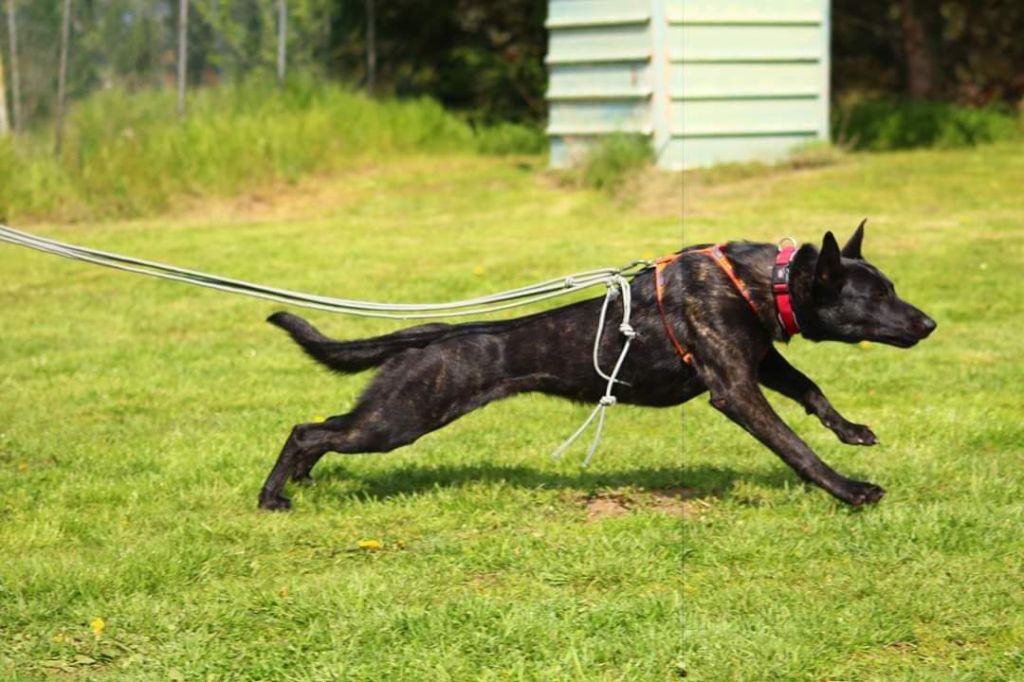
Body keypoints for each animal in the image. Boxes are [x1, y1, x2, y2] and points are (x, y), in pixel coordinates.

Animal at [258, 224, 937, 509]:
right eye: (877, 296)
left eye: (893, 287)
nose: (929, 323)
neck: (759, 282)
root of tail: (436, 333)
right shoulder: (735, 388)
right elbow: (795, 448)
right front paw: (852, 491)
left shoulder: (759, 360)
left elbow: (811, 388)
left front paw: (852, 430)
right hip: (400, 418)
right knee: (306, 431)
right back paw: (273, 497)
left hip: (391, 412)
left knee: (323, 428)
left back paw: (302, 482)